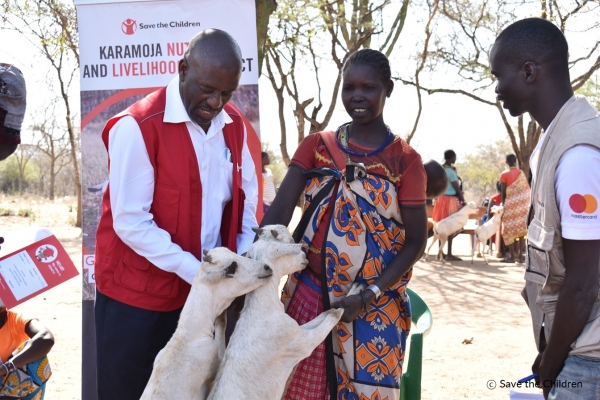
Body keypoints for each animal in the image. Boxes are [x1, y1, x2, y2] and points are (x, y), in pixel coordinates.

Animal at [209, 225, 344, 400]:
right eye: (291, 242)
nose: (305, 258)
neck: (261, 306)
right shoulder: (301, 344)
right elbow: (326, 323)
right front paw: (340, 310)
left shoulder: (297, 330)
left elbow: (319, 318)